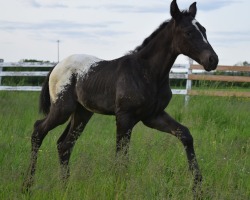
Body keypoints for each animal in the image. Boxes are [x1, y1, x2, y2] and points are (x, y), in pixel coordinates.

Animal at [23, 0, 219, 197]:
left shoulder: (153, 116)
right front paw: (119, 189)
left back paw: (65, 187)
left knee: (64, 145)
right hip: (62, 109)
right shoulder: (124, 117)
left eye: (204, 30)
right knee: (38, 131)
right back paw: (27, 186)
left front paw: (198, 187)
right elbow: (121, 156)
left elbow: (185, 135)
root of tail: (56, 66)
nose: (213, 60)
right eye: (188, 32)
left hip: (82, 113)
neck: (147, 72)